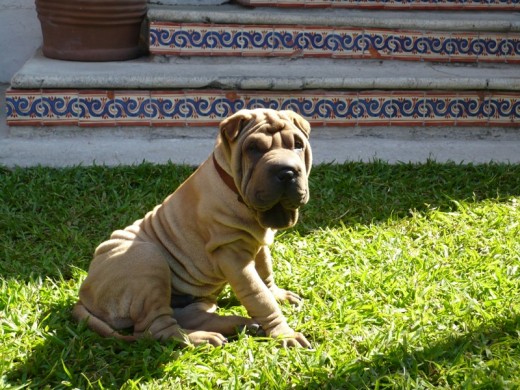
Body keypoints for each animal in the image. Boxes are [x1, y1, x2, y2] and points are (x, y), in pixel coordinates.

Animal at [73, 109, 312, 348]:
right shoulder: (232, 254)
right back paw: (204, 337)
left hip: (192, 302)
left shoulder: (259, 243)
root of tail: (84, 295)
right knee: (156, 329)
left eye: (298, 145)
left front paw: (278, 295)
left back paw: (241, 325)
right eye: (253, 148)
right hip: (147, 259)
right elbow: (259, 296)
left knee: (191, 317)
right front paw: (285, 334)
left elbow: (265, 273)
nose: (287, 172)